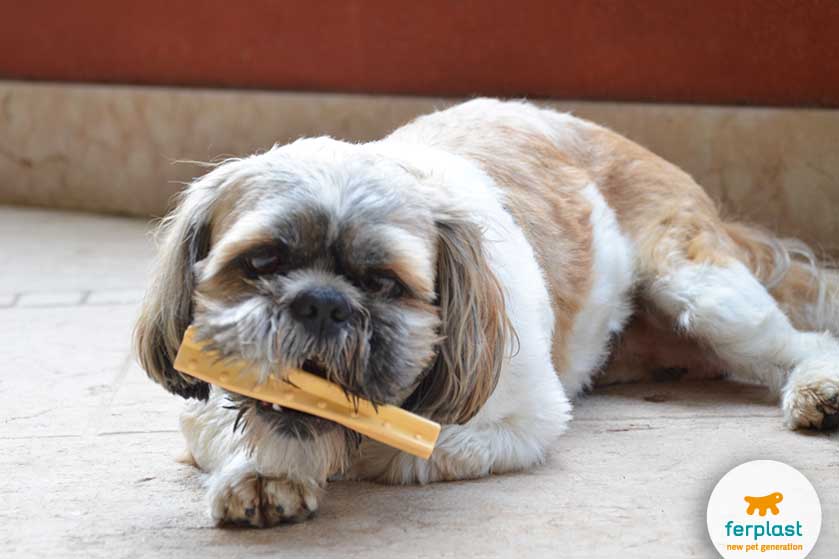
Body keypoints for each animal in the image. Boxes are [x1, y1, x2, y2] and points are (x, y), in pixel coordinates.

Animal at [133, 98, 839, 528]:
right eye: (261, 261)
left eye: (385, 282)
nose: (321, 303)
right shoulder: (202, 402)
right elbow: (244, 426)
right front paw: (267, 470)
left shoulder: (521, 422)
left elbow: (390, 451)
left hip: (698, 286)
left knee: (798, 344)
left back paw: (816, 390)